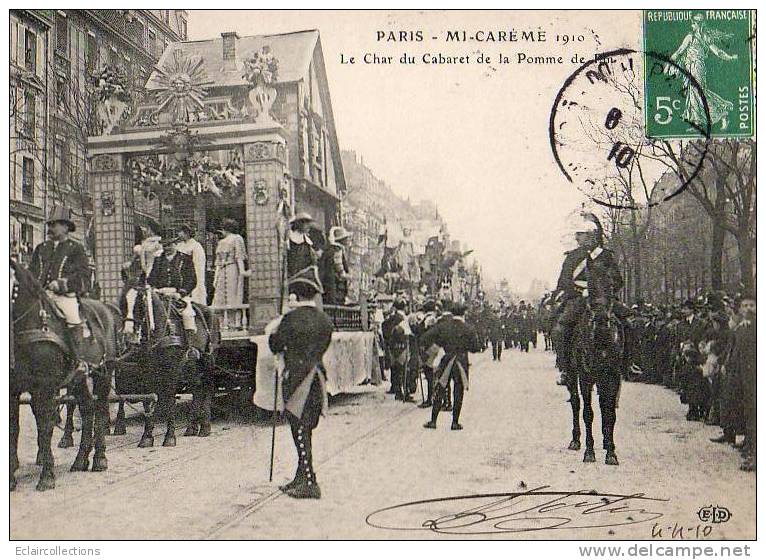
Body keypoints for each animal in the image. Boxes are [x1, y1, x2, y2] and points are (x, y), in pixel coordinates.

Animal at [11, 262, 119, 490]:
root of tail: (105, 309)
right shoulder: (12, 389)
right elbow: (13, 429)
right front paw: (10, 480)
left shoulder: (44, 388)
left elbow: (45, 426)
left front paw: (47, 476)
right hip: (78, 380)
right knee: (87, 408)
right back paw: (80, 460)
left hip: (103, 374)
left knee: (101, 410)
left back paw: (99, 459)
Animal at [111, 284, 220, 446]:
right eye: (122, 303)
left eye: (139, 303)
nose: (127, 336)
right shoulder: (146, 372)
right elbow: (148, 401)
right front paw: (147, 437)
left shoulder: (172, 371)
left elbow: (170, 400)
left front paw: (170, 437)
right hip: (192, 369)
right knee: (197, 392)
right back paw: (191, 428)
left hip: (208, 364)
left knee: (206, 390)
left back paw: (205, 428)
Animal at [568, 260, 628, 466]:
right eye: (590, 286)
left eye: (610, 285)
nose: (601, 319)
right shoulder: (586, 378)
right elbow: (588, 413)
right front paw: (589, 452)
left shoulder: (613, 377)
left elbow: (610, 413)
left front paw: (611, 452)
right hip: (573, 375)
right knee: (576, 403)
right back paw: (576, 440)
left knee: (603, 406)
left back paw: (605, 440)